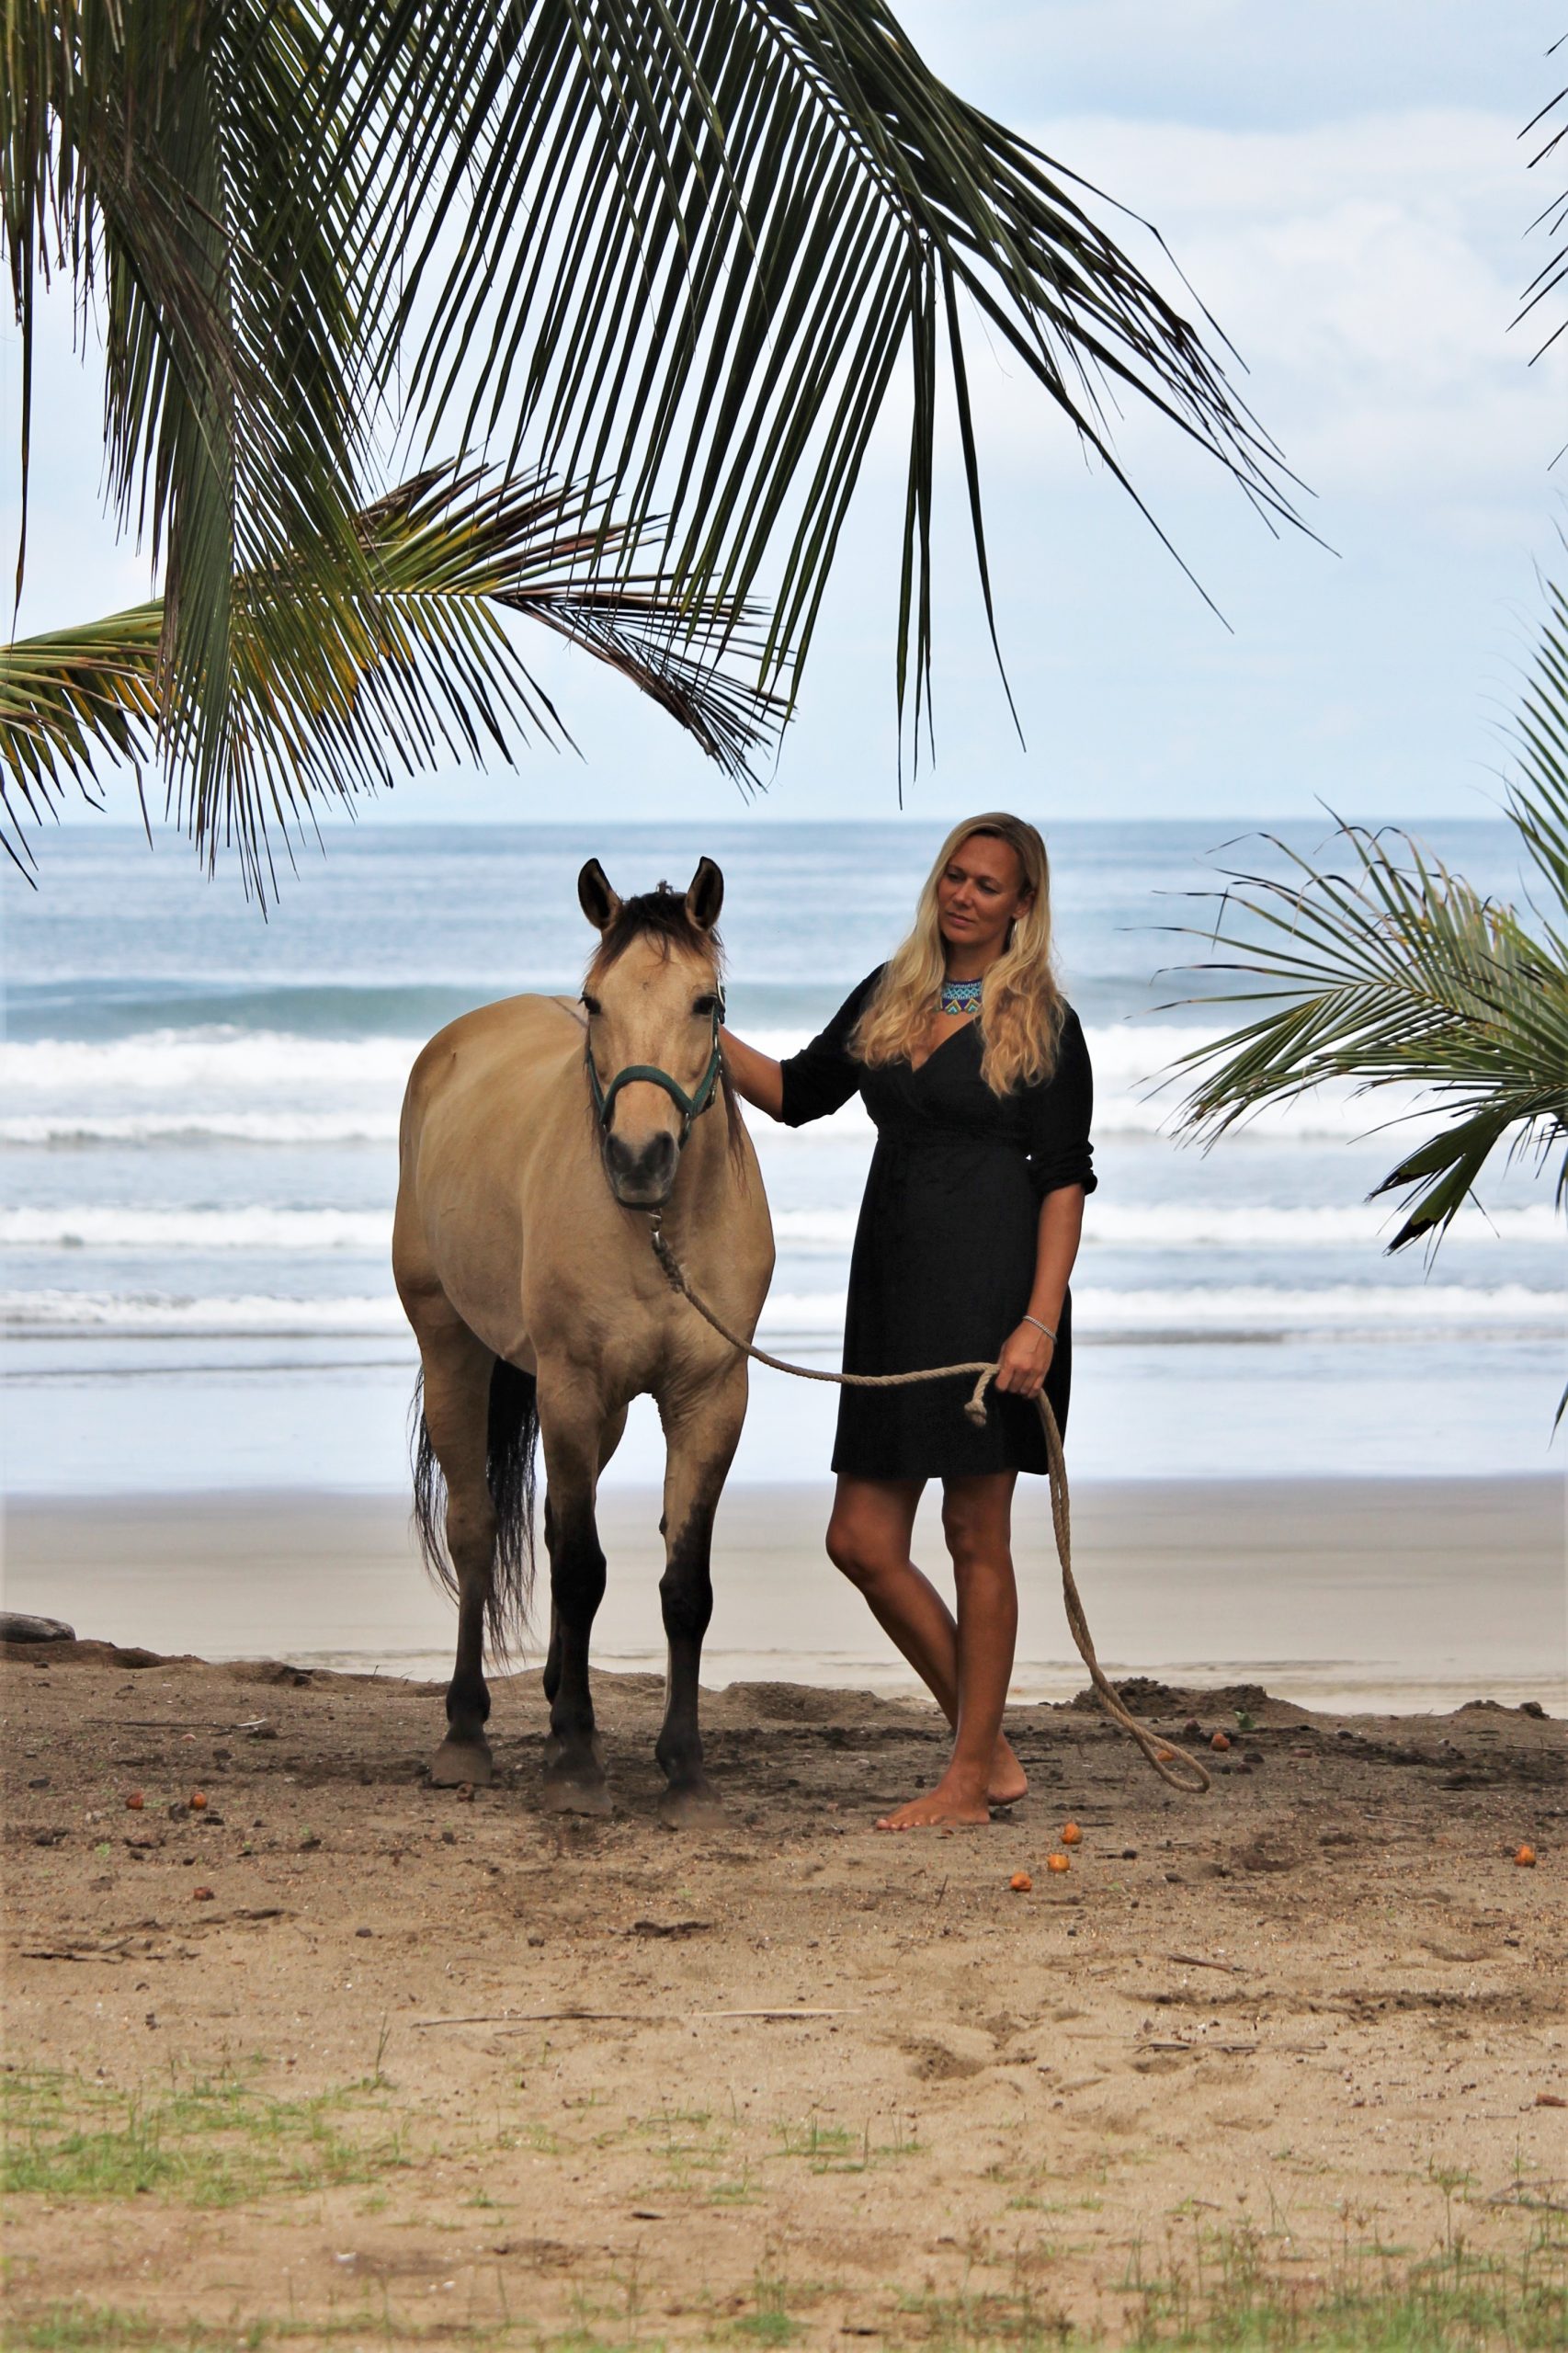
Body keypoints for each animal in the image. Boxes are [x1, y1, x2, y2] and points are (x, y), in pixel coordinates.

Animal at [392, 856, 772, 1825]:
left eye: (706, 1001)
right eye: (594, 1002)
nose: (639, 1159)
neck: (657, 1229)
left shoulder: (710, 1400)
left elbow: (683, 1586)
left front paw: (685, 1770)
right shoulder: (569, 1386)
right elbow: (579, 1568)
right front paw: (573, 1762)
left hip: (598, 1417)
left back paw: (567, 1696)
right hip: (455, 1349)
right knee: (479, 1529)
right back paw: (468, 1733)